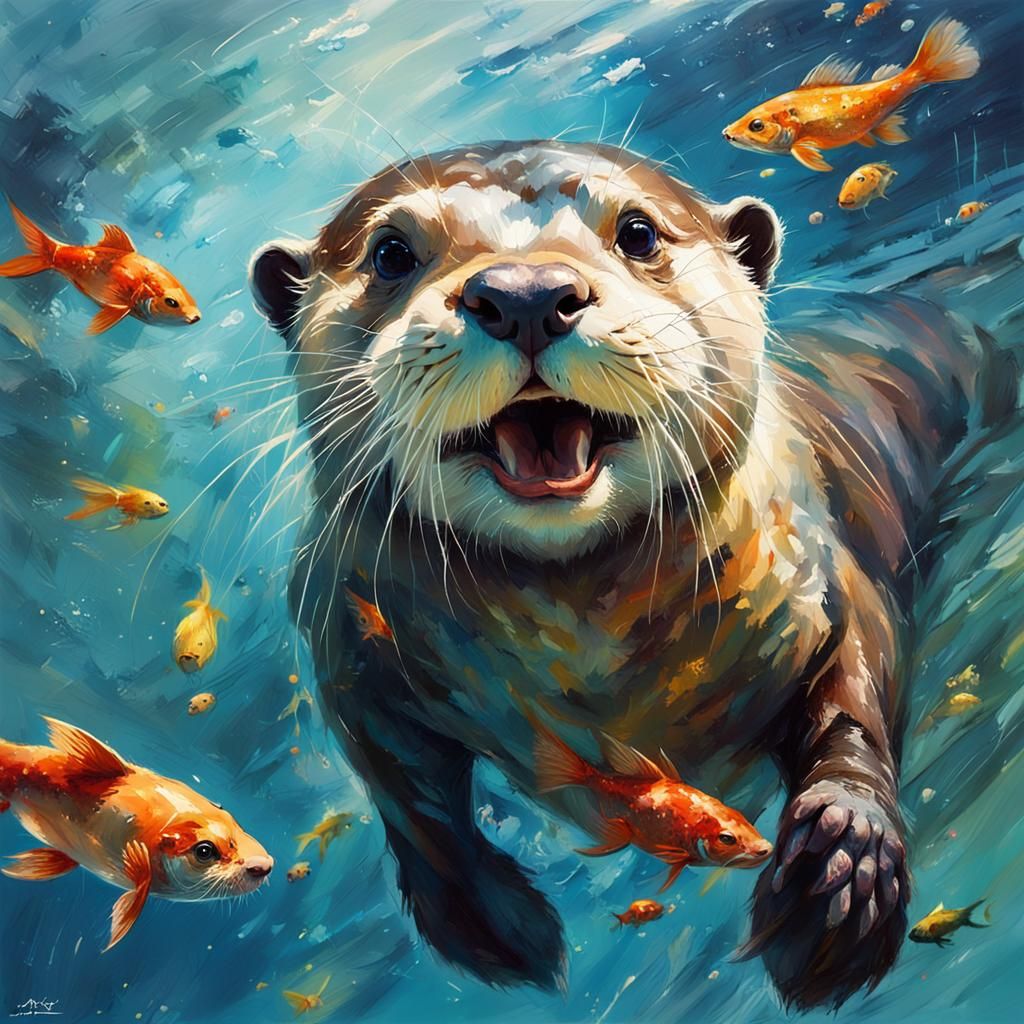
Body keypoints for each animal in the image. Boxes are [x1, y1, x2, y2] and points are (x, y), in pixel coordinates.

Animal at [248, 141, 1006, 1010]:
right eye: (390, 253)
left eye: (639, 232)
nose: (526, 294)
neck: (591, 667)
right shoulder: (345, 645)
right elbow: (409, 798)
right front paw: (494, 925)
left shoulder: (823, 580)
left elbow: (856, 697)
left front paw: (843, 865)